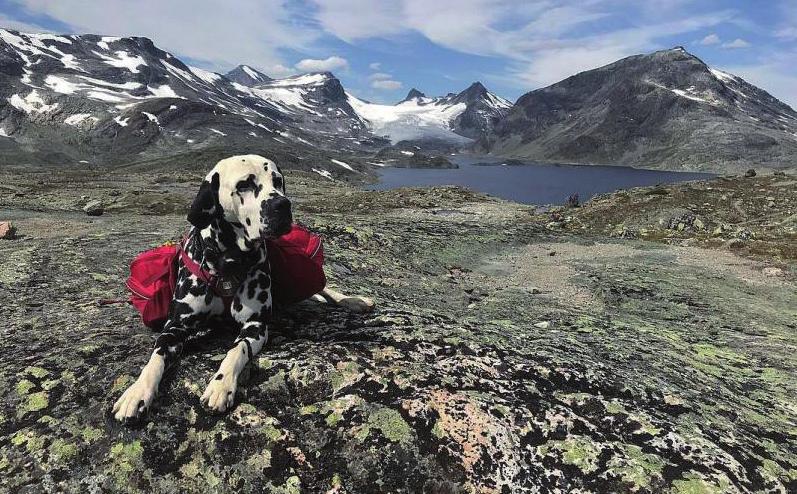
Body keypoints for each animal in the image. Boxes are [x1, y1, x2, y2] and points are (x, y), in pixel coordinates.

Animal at [112, 153, 374, 420]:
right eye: (244, 185)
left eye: (277, 181)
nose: (283, 205)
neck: (228, 261)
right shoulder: (175, 327)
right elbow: (155, 358)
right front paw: (136, 392)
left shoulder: (255, 325)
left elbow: (237, 351)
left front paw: (221, 385)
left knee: (323, 289)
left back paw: (354, 301)